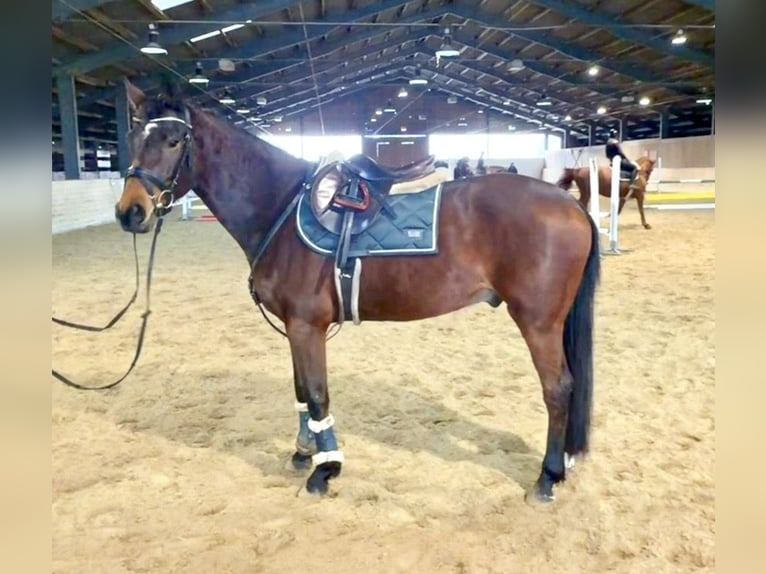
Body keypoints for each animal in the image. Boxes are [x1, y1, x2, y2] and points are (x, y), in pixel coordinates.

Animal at [113, 77, 600, 504]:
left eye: (174, 140)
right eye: (134, 136)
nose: (130, 213)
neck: (280, 207)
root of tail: (570, 204)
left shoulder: (307, 326)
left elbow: (316, 393)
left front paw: (325, 470)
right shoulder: (295, 327)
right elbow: (300, 390)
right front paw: (304, 451)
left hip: (538, 323)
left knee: (558, 390)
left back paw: (547, 478)